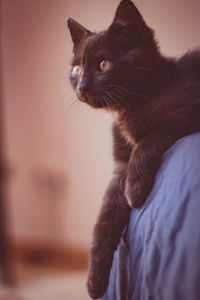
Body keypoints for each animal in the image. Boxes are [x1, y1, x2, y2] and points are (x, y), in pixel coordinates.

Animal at [67, 0, 200, 298]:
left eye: (104, 64)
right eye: (76, 70)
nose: (82, 87)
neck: (130, 105)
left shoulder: (188, 113)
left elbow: (149, 138)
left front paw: (135, 190)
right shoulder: (119, 167)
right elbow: (104, 220)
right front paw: (95, 281)